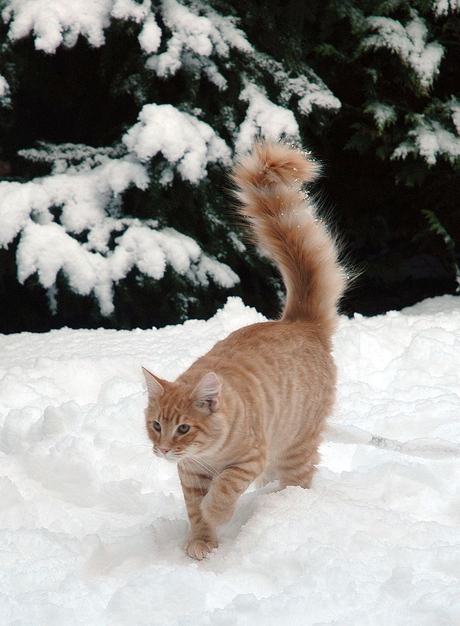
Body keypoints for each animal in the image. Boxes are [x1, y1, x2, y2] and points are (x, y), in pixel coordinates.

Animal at [142, 139, 346, 560]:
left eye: (183, 428)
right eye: (156, 425)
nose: (165, 449)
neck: (207, 453)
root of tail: (299, 322)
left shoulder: (248, 459)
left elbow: (223, 491)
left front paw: (217, 515)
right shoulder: (190, 474)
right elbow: (194, 509)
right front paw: (202, 541)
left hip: (295, 446)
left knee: (299, 480)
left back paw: (287, 510)